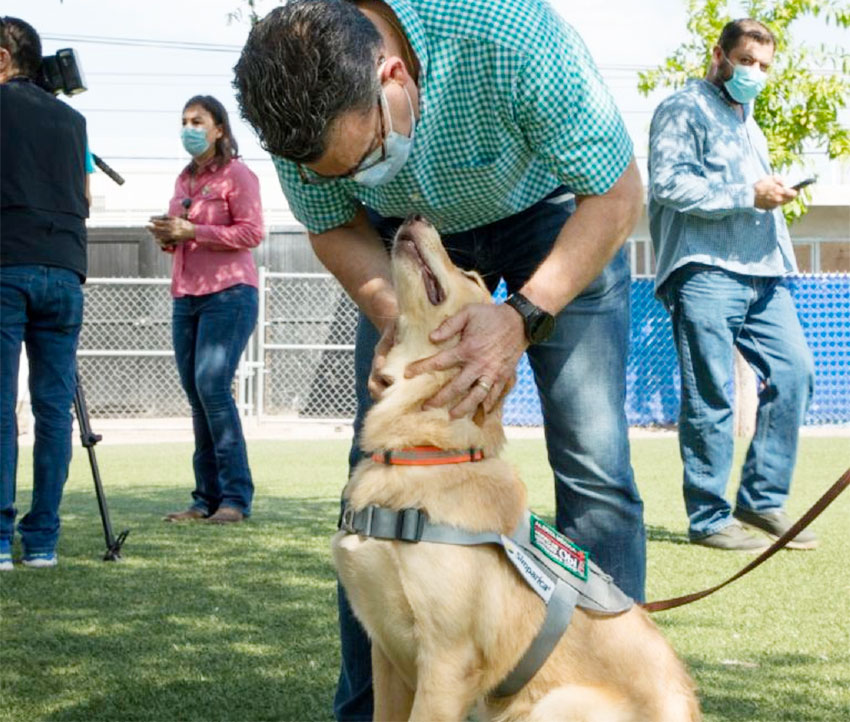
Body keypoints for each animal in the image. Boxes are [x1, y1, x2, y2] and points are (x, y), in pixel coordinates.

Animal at [332, 215, 696, 720]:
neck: (424, 452)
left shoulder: (447, 661)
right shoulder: (384, 654)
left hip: (553, 704)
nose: (418, 215)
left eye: (471, 277)